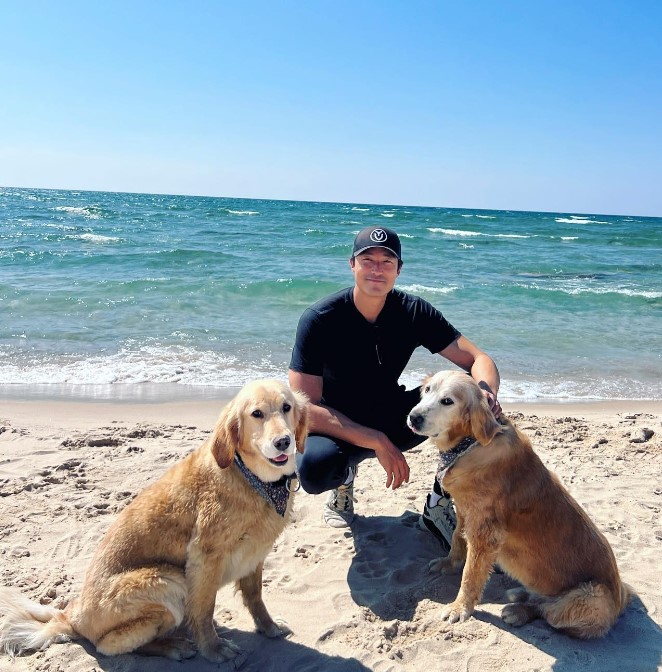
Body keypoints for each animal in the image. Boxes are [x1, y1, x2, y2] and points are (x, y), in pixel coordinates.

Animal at [0, 378, 310, 660]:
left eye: (287, 407)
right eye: (256, 414)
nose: (283, 442)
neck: (253, 479)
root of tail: (71, 617)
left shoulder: (255, 554)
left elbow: (255, 597)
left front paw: (269, 627)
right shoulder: (205, 558)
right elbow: (204, 609)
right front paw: (213, 648)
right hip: (168, 581)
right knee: (112, 644)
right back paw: (173, 647)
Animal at [410, 370, 632, 636]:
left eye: (447, 401)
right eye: (427, 390)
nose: (413, 417)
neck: (469, 445)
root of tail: (621, 597)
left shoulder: (486, 533)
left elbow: (470, 574)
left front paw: (460, 607)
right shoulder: (465, 511)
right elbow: (456, 540)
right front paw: (448, 563)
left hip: (590, 598)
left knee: (548, 611)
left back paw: (519, 610)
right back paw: (521, 594)